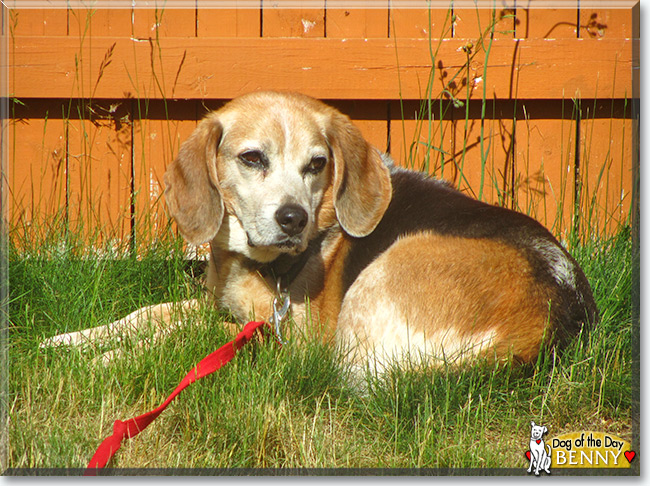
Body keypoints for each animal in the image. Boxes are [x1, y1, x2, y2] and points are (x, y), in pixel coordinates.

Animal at [43, 92, 596, 368]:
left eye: (317, 164)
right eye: (252, 158)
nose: (294, 219)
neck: (257, 265)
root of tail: (554, 316)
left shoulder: (284, 336)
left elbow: (180, 334)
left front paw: (108, 359)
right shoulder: (220, 306)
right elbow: (149, 314)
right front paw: (71, 340)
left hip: (375, 283)